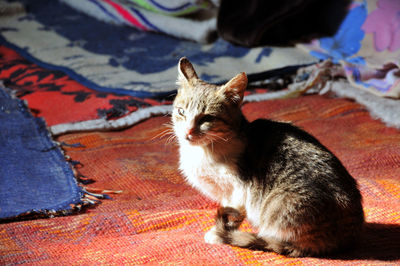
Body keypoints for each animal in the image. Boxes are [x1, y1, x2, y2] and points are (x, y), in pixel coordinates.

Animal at [170, 57, 364, 256]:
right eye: (181, 112)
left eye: (207, 118)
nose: (188, 131)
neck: (203, 152)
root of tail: (347, 237)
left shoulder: (237, 190)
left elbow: (233, 215)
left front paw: (219, 234)